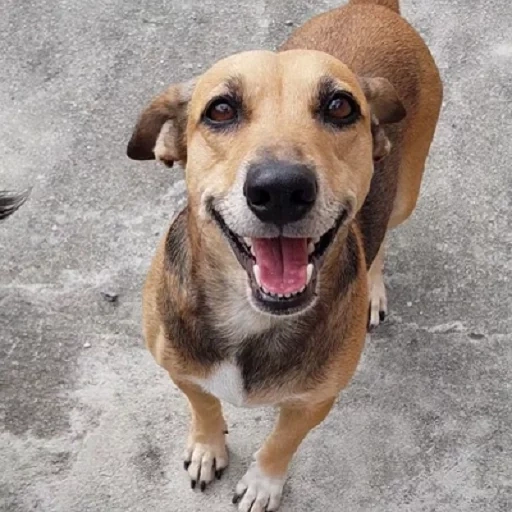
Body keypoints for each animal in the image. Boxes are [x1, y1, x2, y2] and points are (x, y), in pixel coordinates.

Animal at [127, 1, 440, 508]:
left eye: (340, 106)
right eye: (220, 110)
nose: (279, 189)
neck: (250, 319)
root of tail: (372, 8)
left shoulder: (314, 401)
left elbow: (281, 442)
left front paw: (262, 482)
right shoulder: (180, 369)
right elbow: (204, 403)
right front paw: (207, 446)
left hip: (405, 193)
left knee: (383, 237)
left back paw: (373, 289)